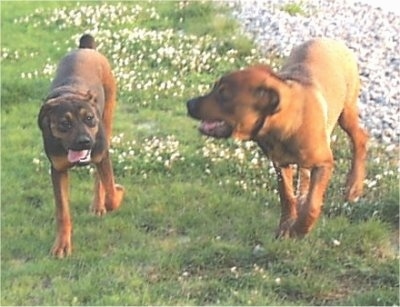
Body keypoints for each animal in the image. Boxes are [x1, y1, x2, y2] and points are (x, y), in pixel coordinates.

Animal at [39, 35, 124, 258]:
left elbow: (110, 192)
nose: (84, 141)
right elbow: (62, 212)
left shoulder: (102, 153)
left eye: (89, 118)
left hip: (108, 115)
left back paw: (98, 204)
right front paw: (62, 245)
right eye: (64, 123)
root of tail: (86, 48)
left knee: (99, 176)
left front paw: (116, 195)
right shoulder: (58, 169)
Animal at [188, 38, 368, 238]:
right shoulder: (280, 163)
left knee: (360, 138)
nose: (189, 104)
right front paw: (285, 227)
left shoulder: (324, 163)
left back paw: (353, 186)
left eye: (224, 94)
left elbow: (312, 206)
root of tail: (330, 40)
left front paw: (299, 229)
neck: (283, 125)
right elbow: (287, 196)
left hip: (346, 110)